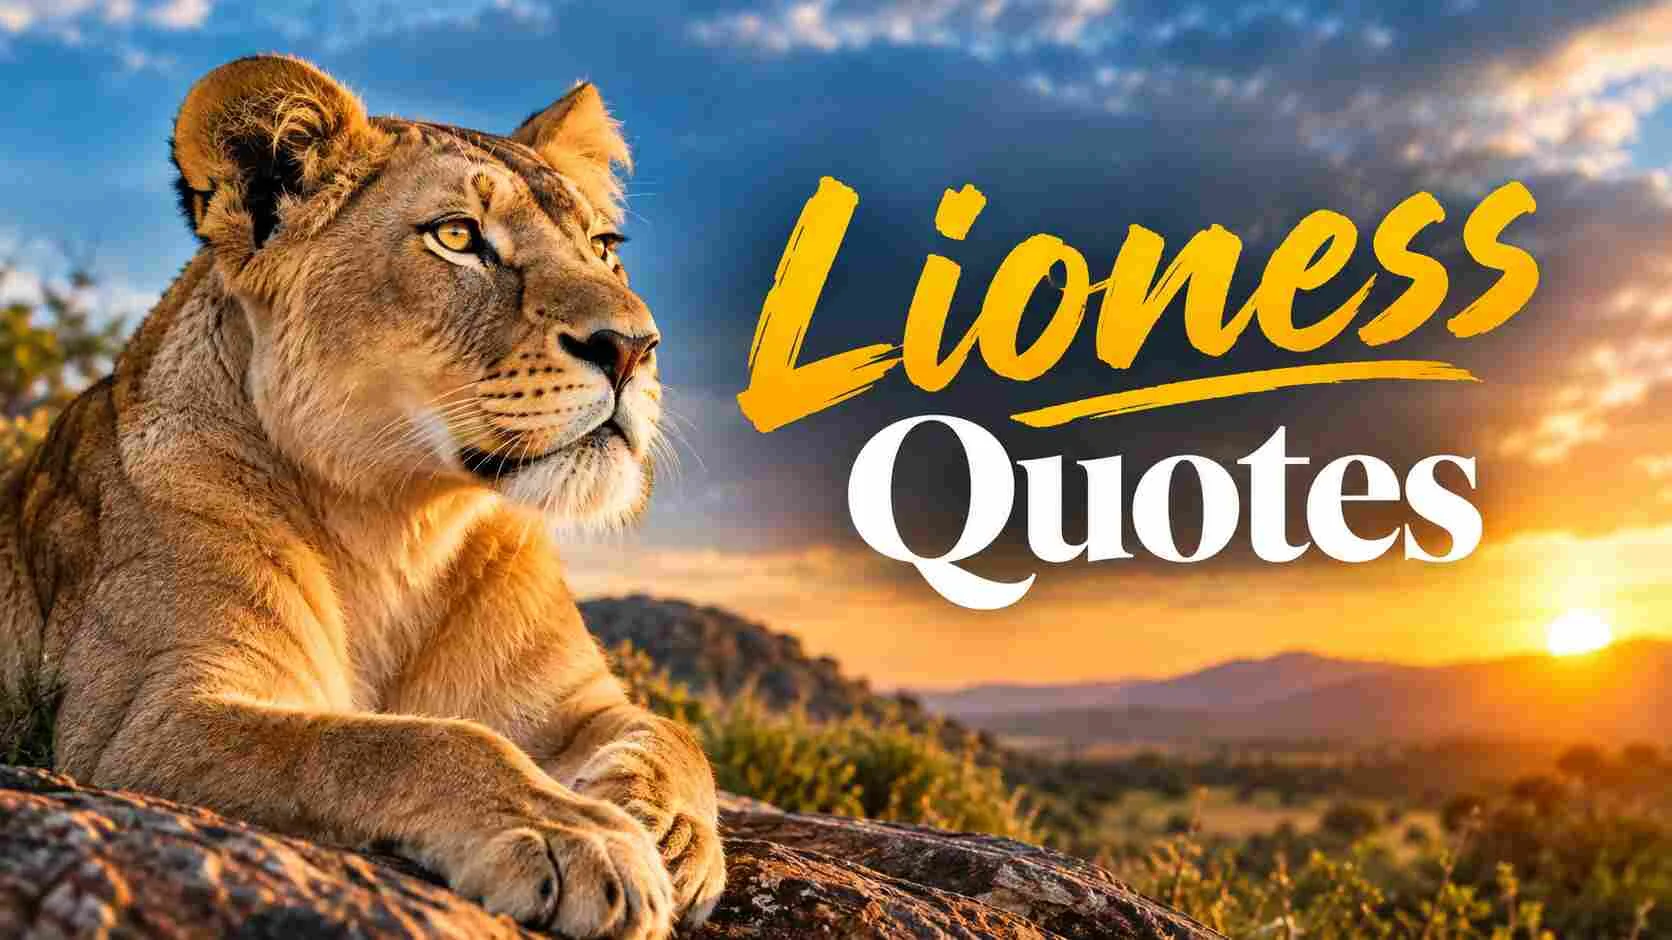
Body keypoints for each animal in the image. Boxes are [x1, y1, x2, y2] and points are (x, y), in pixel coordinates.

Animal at [0, 55, 725, 938]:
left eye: (603, 248)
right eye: (458, 236)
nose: (634, 347)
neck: (403, 527)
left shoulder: (574, 701)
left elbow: (673, 732)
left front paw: (668, 829)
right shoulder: (137, 725)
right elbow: (397, 744)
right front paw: (579, 835)